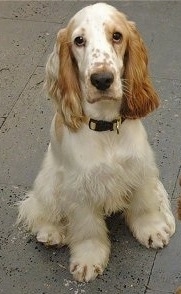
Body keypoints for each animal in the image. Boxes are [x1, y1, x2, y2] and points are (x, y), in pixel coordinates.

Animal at [17, 2, 175, 282]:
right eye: (79, 40)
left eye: (117, 36)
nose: (102, 80)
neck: (106, 127)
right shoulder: (79, 186)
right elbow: (87, 229)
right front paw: (88, 260)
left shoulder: (140, 168)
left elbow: (144, 204)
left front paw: (153, 230)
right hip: (49, 180)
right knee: (36, 206)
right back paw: (51, 232)